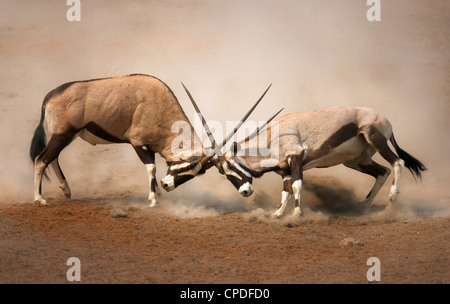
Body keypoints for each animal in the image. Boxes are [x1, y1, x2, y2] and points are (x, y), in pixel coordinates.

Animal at [29, 74, 268, 207]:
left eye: (196, 173)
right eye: (188, 166)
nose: (167, 185)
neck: (158, 104)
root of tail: (50, 95)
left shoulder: (151, 146)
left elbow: (153, 167)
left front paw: (158, 194)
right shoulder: (138, 143)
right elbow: (151, 167)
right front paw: (154, 199)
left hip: (66, 135)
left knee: (53, 158)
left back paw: (66, 190)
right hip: (63, 134)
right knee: (41, 160)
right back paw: (39, 199)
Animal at [192, 105, 428, 217]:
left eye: (230, 166)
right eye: (223, 173)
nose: (245, 191)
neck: (271, 138)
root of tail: (385, 119)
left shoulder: (296, 158)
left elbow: (297, 186)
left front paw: (297, 214)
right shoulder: (285, 171)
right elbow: (286, 191)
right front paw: (277, 214)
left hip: (375, 138)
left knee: (397, 162)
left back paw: (392, 198)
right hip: (355, 160)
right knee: (382, 172)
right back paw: (362, 206)